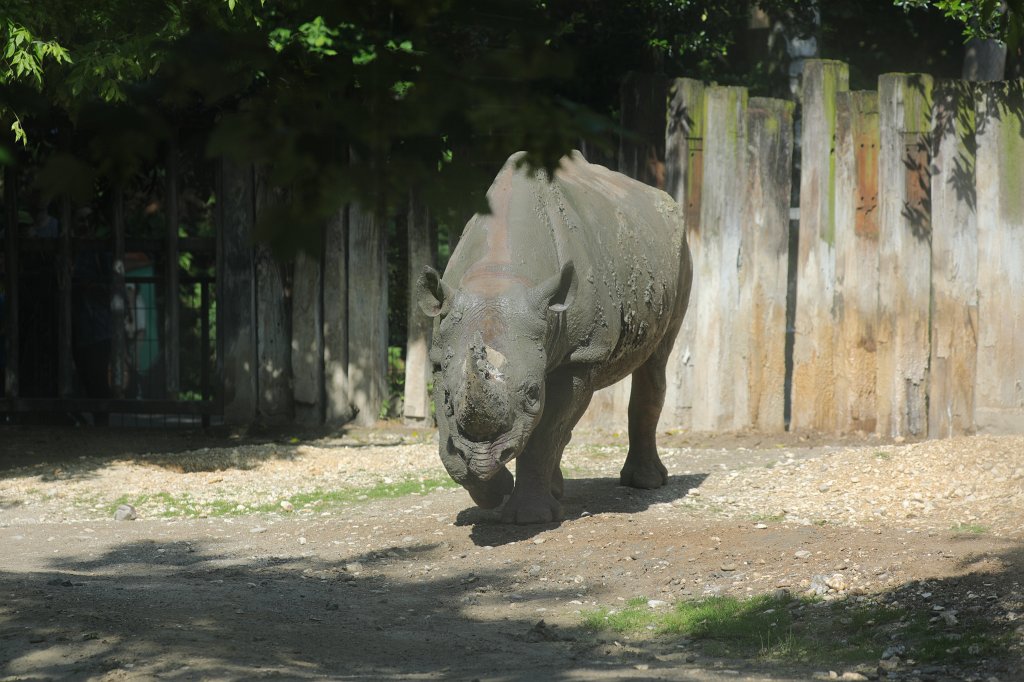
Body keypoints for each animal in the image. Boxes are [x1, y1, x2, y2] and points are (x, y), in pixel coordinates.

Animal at [417, 151, 692, 524]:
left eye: (533, 394)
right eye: (446, 396)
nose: (486, 456)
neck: (498, 279)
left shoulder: (581, 355)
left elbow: (546, 432)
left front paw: (529, 517)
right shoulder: (441, 350)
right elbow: (448, 438)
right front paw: (491, 488)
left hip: (680, 256)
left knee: (656, 360)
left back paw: (645, 483)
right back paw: (556, 489)